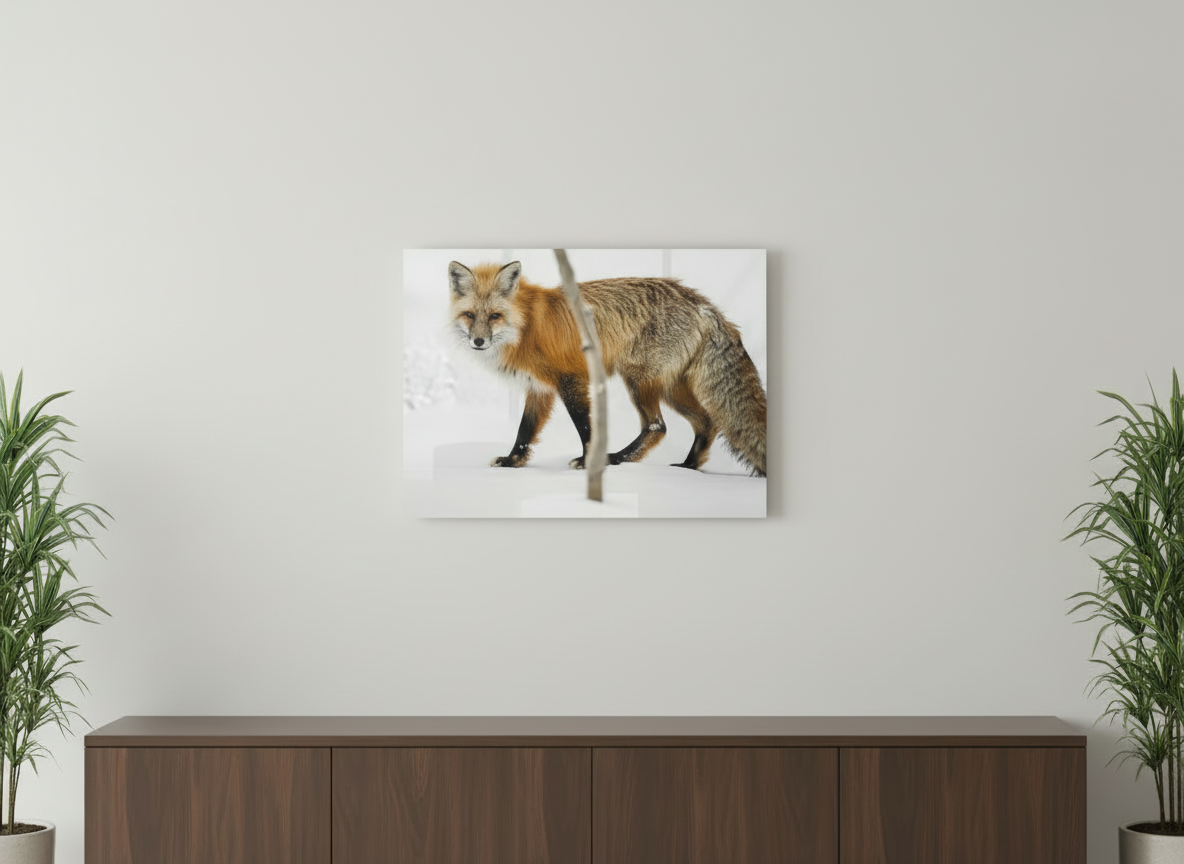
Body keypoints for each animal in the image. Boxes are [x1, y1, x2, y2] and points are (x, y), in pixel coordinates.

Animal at [448, 260, 767, 477]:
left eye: (494, 316)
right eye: (470, 315)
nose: (478, 341)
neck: (525, 327)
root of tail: (702, 303)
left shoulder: (571, 379)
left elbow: (584, 426)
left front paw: (590, 463)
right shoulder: (538, 388)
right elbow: (524, 432)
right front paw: (512, 462)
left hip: (640, 382)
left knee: (657, 426)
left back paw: (618, 458)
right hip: (671, 388)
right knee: (705, 422)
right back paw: (688, 466)